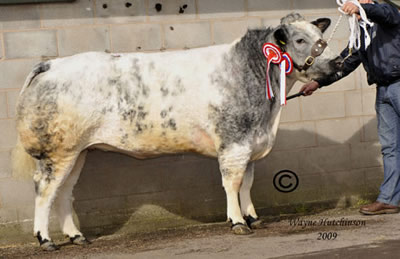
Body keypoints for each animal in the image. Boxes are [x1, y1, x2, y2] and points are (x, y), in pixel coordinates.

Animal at [12, 12, 342, 252]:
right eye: (300, 39)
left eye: (322, 39)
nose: (336, 64)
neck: (268, 116)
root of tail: (51, 64)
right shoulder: (234, 143)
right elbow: (233, 184)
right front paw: (237, 222)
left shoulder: (250, 144)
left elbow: (247, 183)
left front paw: (253, 218)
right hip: (58, 150)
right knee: (45, 189)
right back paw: (46, 240)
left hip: (78, 151)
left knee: (65, 191)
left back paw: (76, 236)